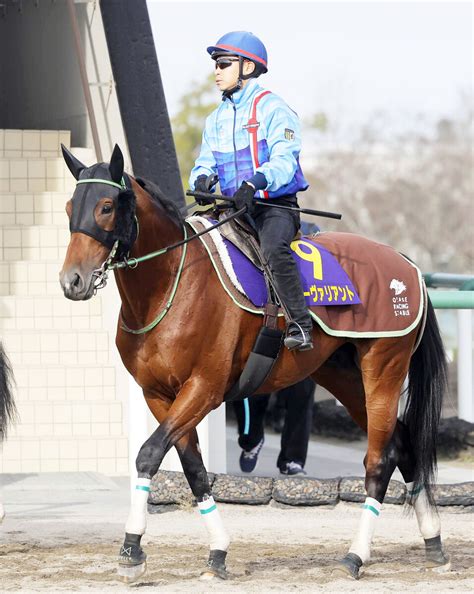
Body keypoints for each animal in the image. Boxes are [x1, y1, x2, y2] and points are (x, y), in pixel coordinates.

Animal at [61, 146, 450, 580]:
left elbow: (148, 454)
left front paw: (131, 548)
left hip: (383, 368)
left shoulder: (204, 389)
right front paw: (217, 551)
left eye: (106, 206)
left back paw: (356, 555)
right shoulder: (158, 395)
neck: (172, 284)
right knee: (403, 444)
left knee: (380, 460)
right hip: (344, 376)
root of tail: (405, 262)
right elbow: (193, 470)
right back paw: (433, 543)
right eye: (69, 207)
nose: (72, 281)